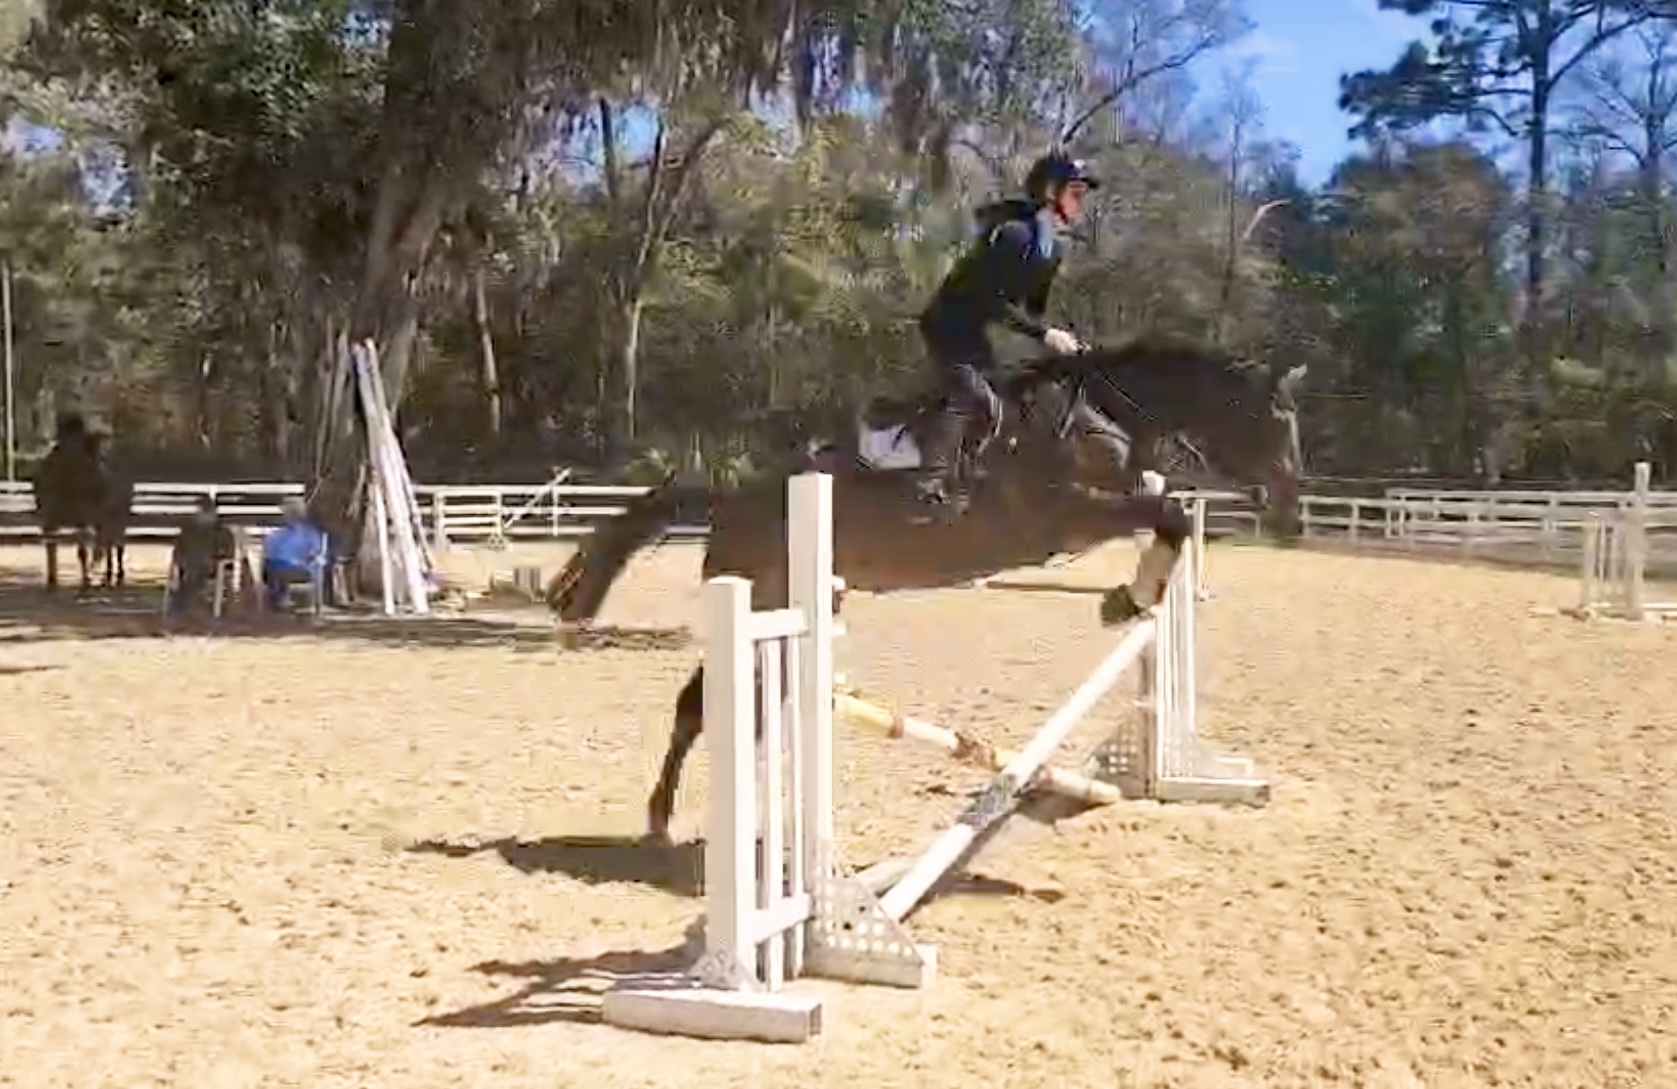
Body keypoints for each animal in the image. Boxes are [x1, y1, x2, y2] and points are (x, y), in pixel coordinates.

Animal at [547, 336, 1307, 842]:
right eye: (1277, 422)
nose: (1291, 515)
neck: (1102, 417)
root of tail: (729, 499)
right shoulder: (1065, 515)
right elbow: (1168, 512)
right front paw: (1124, 598)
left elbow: (1164, 510)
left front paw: (1132, 594)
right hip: (763, 598)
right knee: (700, 707)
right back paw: (663, 821)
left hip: (800, 606)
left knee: (734, 709)